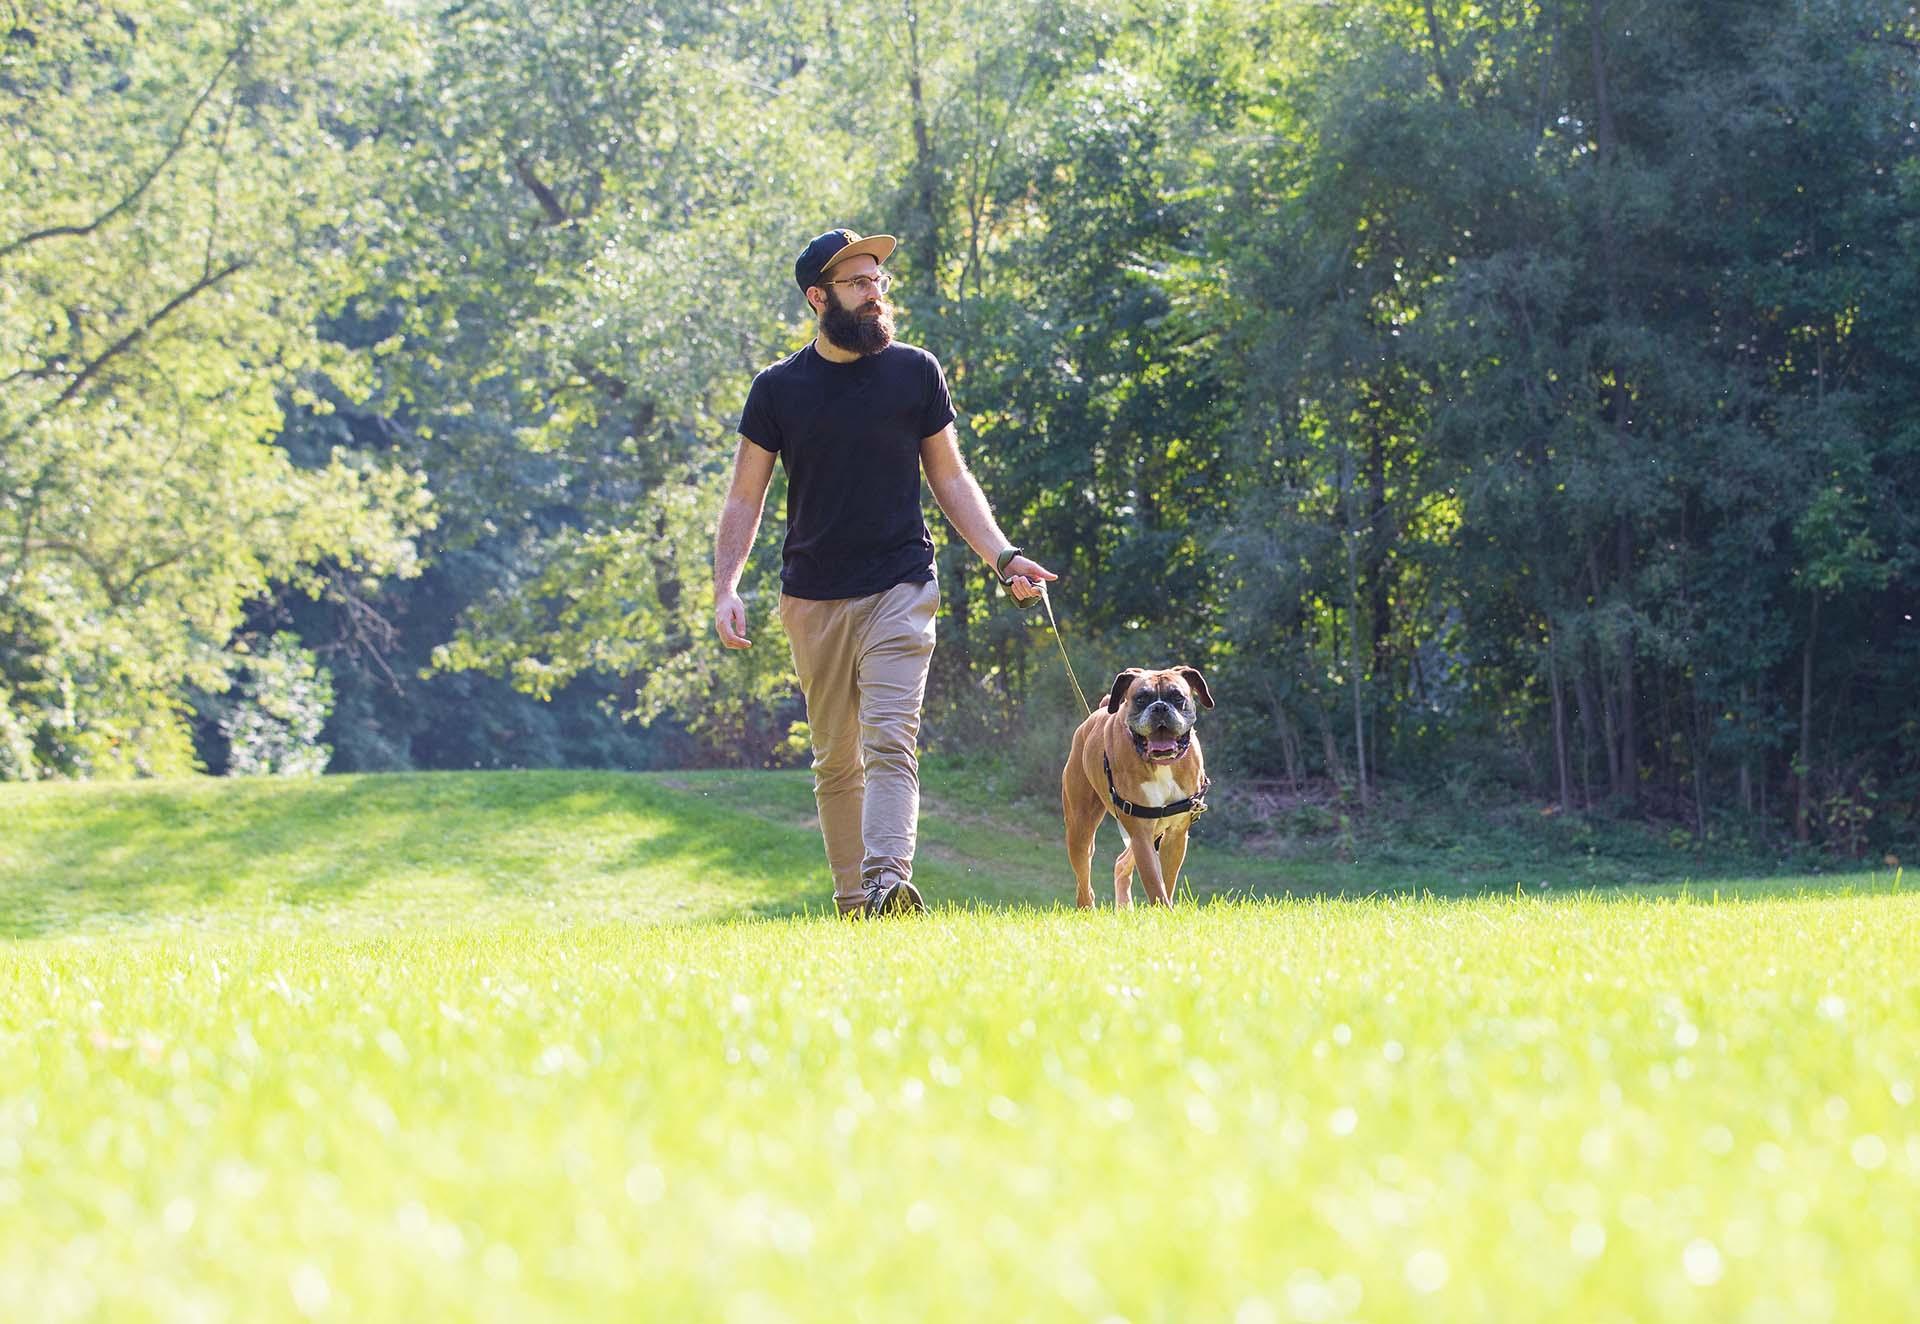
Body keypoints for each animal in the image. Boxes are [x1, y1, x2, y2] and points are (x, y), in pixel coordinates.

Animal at [1067, 663, 1213, 901]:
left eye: (1177, 697)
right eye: (1141, 698)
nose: (1160, 707)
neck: (1161, 764)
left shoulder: (1175, 835)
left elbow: (1166, 884)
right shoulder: (1140, 834)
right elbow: (1155, 885)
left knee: (1121, 863)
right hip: (1080, 830)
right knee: (1084, 886)